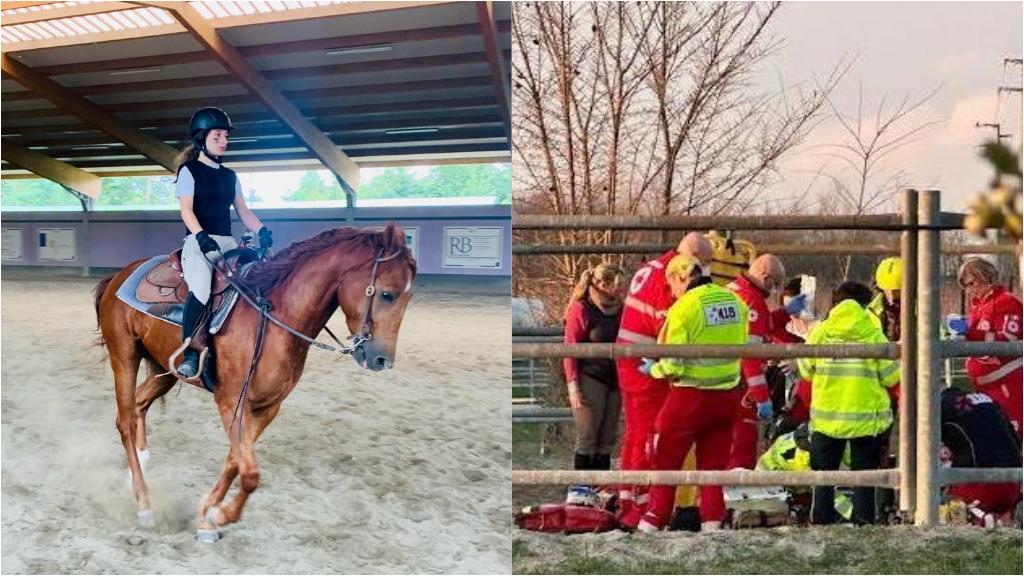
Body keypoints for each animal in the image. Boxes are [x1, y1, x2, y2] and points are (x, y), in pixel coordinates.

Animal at [93, 220, 415, 537]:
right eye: (387, 294)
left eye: (408, 296)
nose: (382, 360)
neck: (273, 316)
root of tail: (117, 277)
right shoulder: (230, 402)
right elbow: (249, 473)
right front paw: (220, 516)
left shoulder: (266, 407)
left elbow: (235, 462)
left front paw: (208, 514)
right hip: (124, 356)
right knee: (125, 421)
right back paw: (144, 505)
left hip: (164, 368)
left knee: (139, 405)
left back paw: (137, 471)